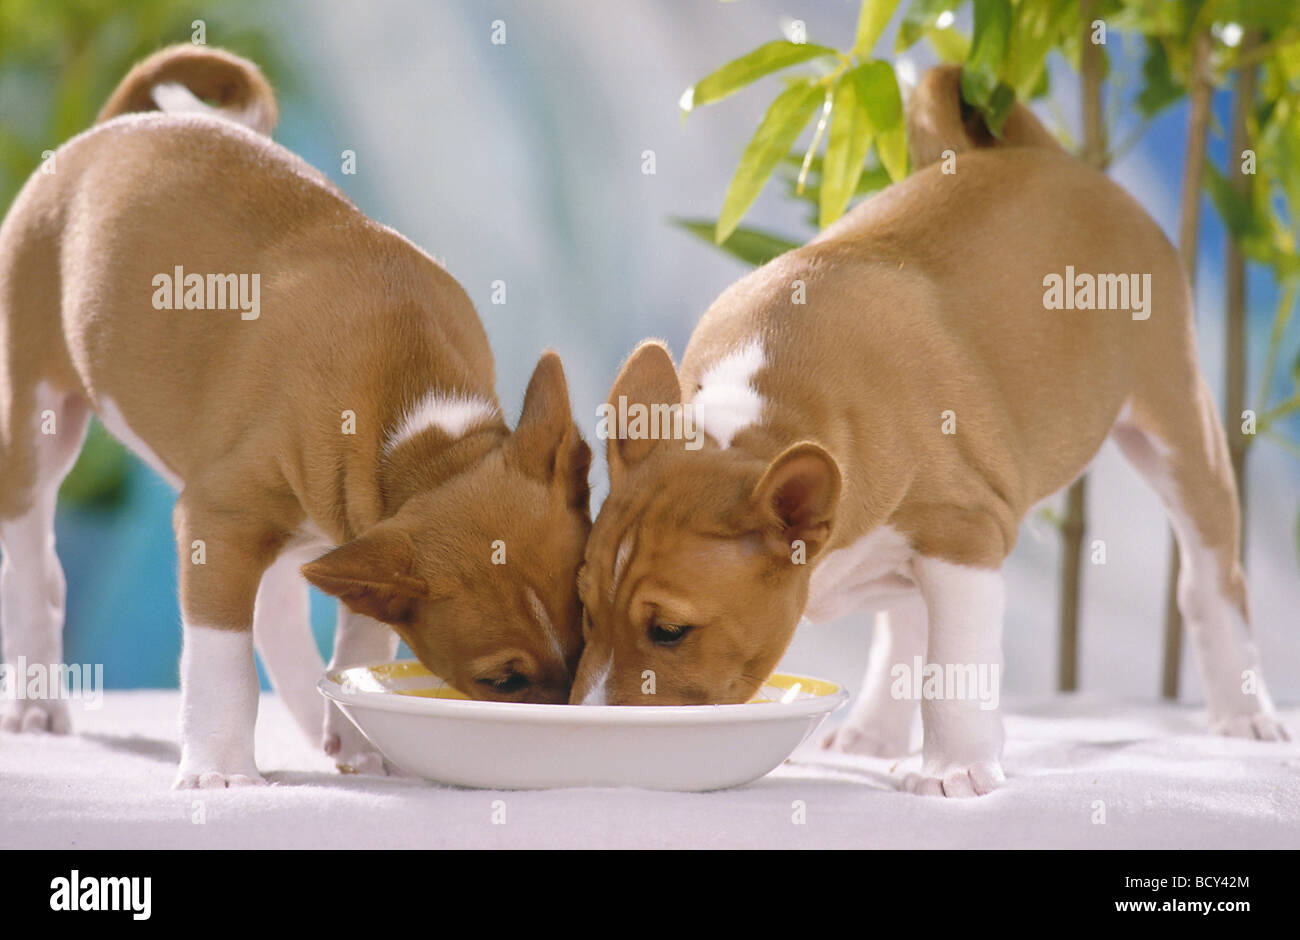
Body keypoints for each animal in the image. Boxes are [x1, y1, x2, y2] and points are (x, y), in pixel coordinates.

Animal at [0, 47, 590, 790]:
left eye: (590, 629)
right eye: (503, 682)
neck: (416, 426)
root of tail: (113, 129)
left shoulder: (359, 535)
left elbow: (361, 637)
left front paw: (358, 736)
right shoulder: (219, 521)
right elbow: (223, 659)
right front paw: (220, 770)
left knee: (277, 608)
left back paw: (320, 722)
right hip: (38, 421)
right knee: (30, 565)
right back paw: (34, 698)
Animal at [572, 66, 1289, 795]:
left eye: (669, 631)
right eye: (584, 609)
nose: (595, 725)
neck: (759, 416)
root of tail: (1057, 161)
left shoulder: (964, 538)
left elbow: (953, 672)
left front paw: (958, 769)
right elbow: (916, 639)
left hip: (1178, 425)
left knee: (1209, 581)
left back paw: (1243, 713)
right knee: (905, 622)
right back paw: (870, 732)